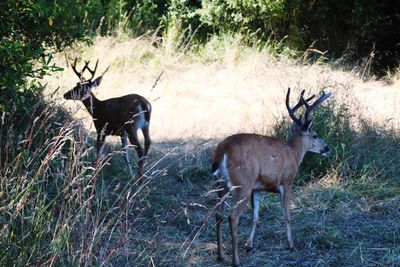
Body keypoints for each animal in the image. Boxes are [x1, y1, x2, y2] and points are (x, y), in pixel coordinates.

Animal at [212, 87, 332, 266]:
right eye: (315, 135)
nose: (327, 148)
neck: (294, 153)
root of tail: (222, 150)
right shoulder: (287, 181)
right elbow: (287, 214)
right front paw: (291, 244)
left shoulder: (257, 188)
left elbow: (256, 216)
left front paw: (249, 245)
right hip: (242, 183)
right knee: (232, 217)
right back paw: (236, 260)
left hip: (221, 184)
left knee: (218, 214)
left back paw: (220, 255)